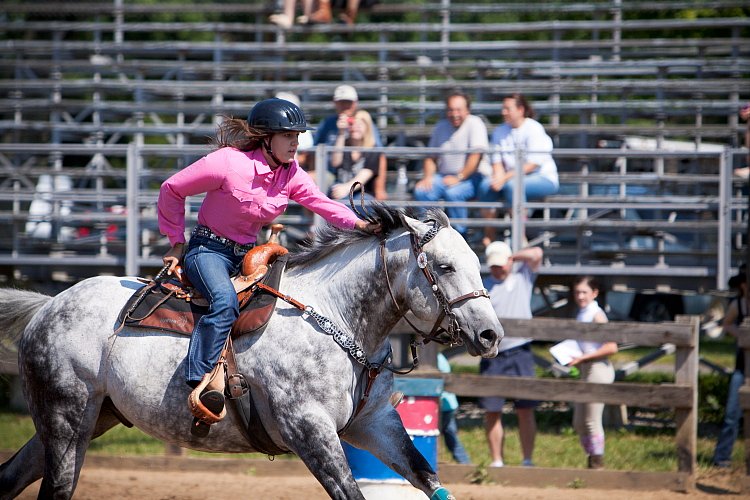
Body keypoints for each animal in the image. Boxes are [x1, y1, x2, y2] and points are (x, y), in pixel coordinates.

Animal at [1, 205, 506, 498]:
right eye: (444, 266)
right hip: (66, 420)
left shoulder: (375, 423)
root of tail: (49, 305)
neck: (337, 318)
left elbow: (429, 478)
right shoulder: (310, 431)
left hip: (90, 417)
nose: (490, 335)